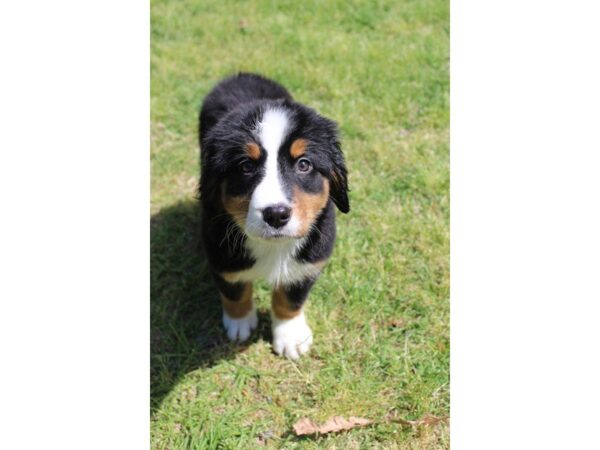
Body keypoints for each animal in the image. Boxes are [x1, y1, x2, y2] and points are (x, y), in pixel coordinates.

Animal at [199, 74, 350, 362]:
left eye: (304, 164)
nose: (276, 214)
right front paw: (239, 324)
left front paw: (290, 337)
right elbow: (235, 292)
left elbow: (290, 298)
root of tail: (243, 75)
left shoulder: (310, 260)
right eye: (246, 166)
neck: (274, 246)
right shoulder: (222, 255)